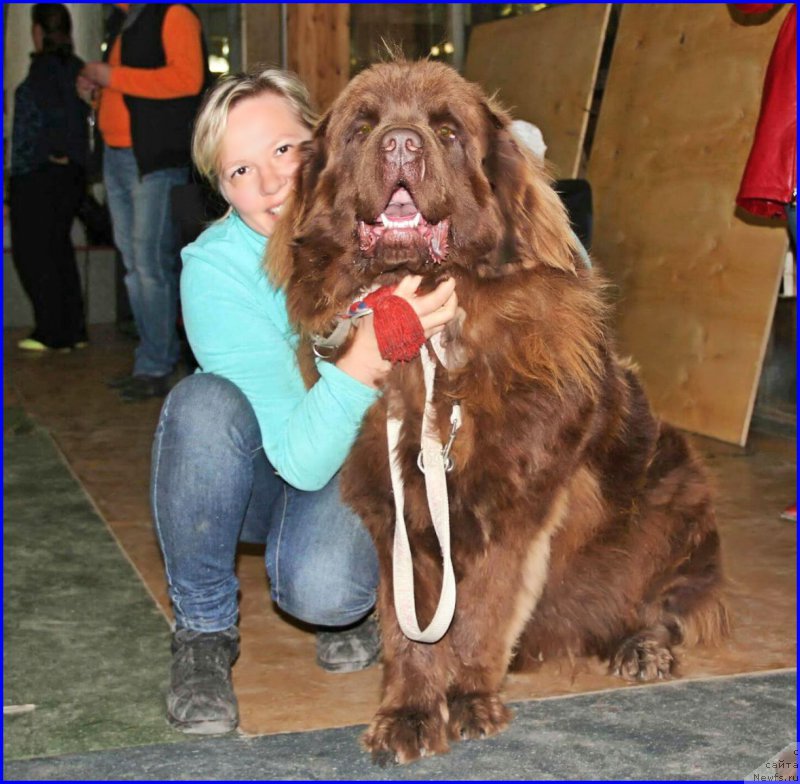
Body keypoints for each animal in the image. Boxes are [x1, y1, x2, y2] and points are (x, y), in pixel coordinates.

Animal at [270, 61, 732, 764]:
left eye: (446, 131)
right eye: (363, 127)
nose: (400, 144)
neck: (428, 339)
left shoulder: (516, 507)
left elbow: (483, 611)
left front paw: (469, 701)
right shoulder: (395, 508)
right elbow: (408, 628)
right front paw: (407, 714)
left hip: (675, 497)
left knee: (664, 601)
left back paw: (642, 647)